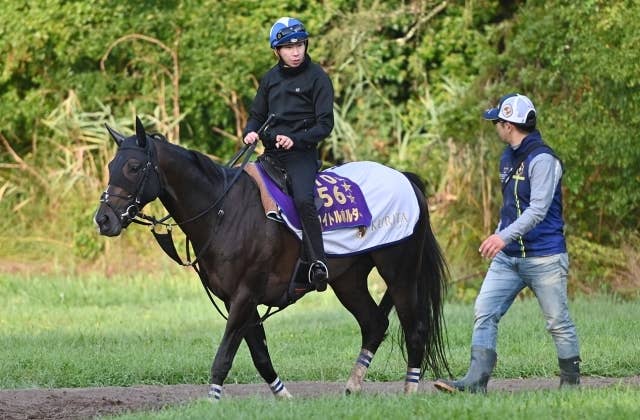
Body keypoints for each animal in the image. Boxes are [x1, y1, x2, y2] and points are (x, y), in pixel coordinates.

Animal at [94, 117, 450, 400]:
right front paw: (284, 398)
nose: (104, 219)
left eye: (134, 167)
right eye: (111, 166)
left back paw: (409, 391)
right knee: (374, 324)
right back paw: (352, 387)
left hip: (400, 273)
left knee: (415, 328)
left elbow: (225, 355)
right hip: (349, 280)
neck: (225, 210)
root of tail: (406, 179)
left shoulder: (245, 295)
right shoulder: (239, 300)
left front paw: (211, 401)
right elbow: (260, 356)